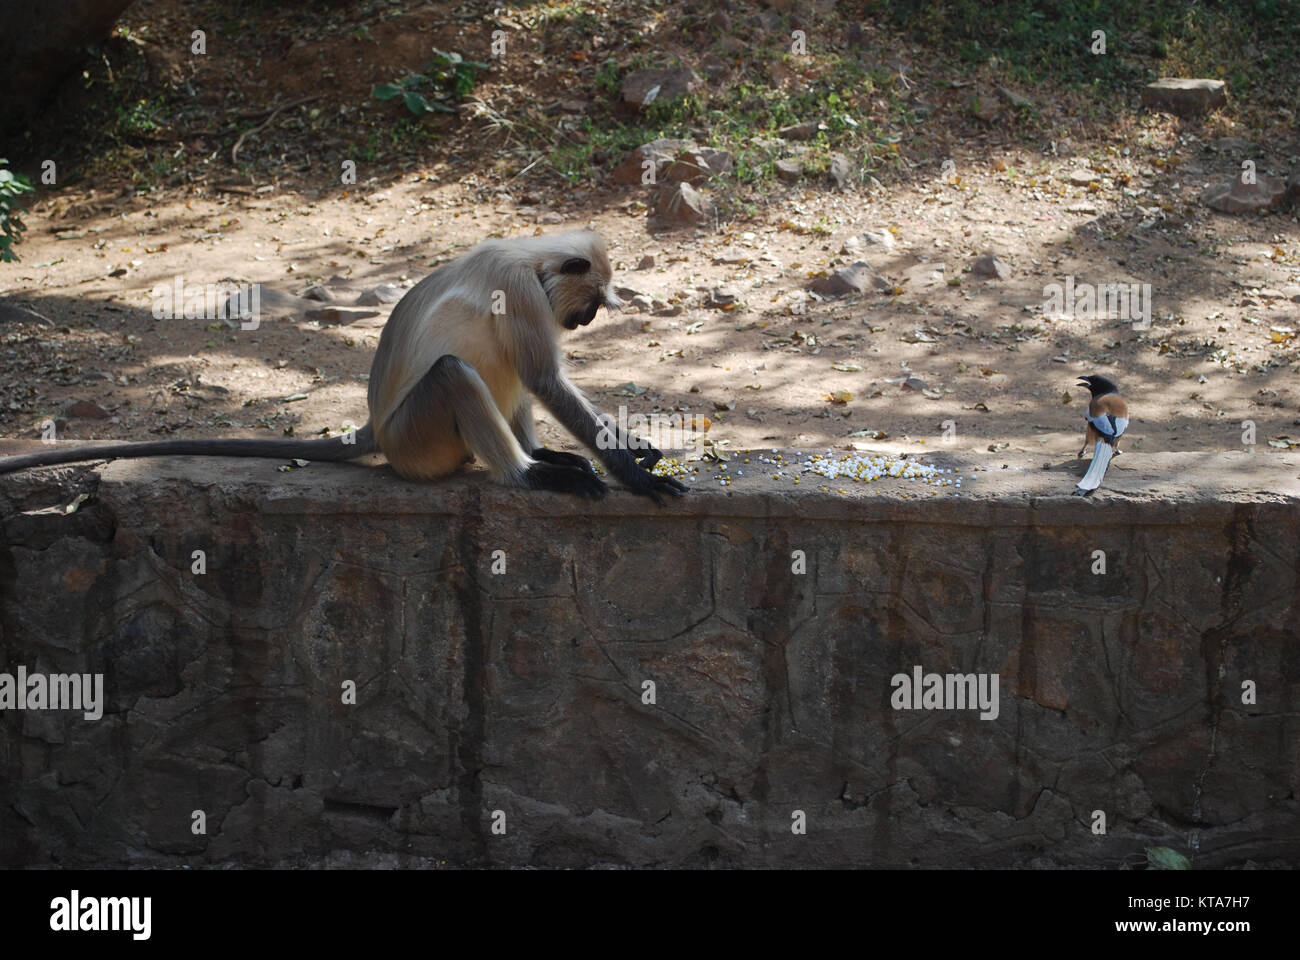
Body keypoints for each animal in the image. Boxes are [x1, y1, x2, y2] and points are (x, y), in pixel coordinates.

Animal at [0, 230, 691, 502]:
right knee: (454, 371)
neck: (531, 257)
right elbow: (545, 379)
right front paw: (634, 473)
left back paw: (540, 457)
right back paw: (529, 473)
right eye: (592, 303)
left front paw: (637, 452)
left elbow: (533, 378)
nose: (588, 322)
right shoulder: (519, 293)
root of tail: (376, 426)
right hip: (416, 438)